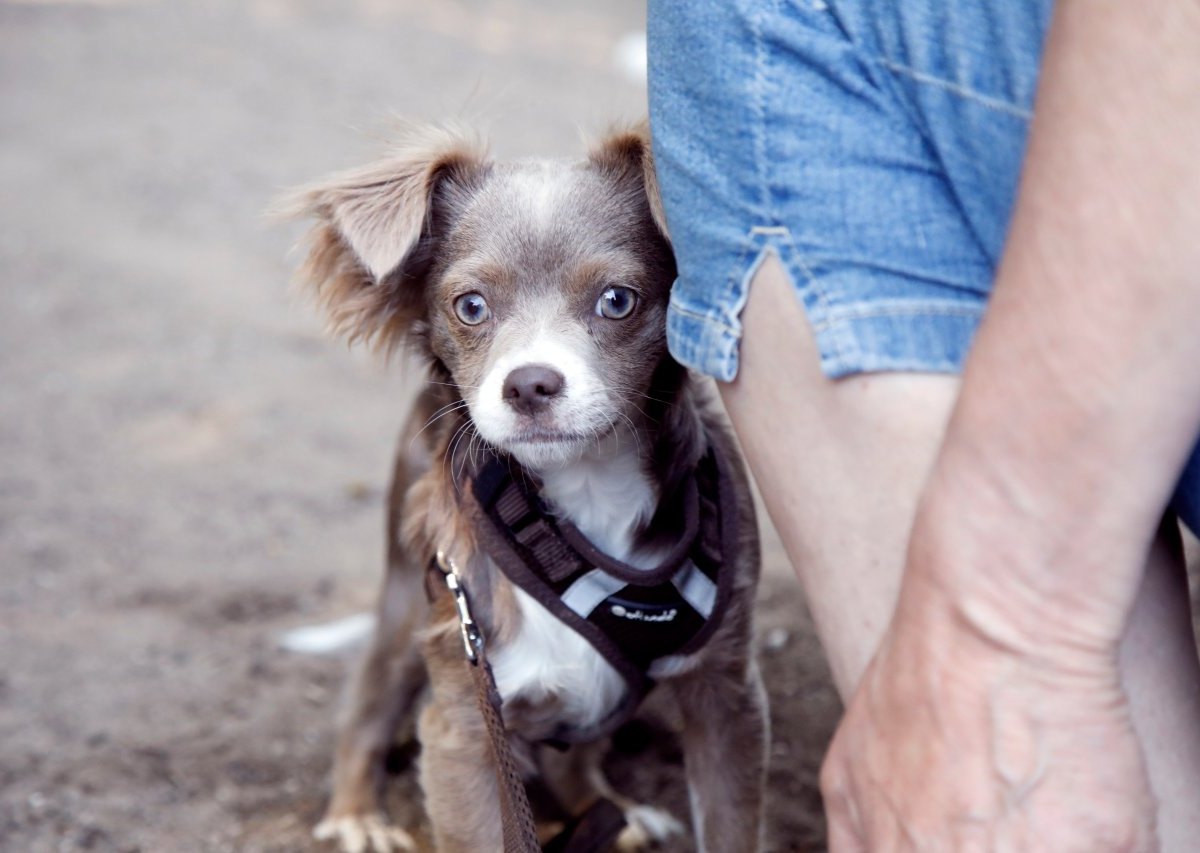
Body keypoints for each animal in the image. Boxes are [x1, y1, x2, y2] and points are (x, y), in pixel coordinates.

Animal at [282, 121, 768, 853]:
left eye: (617, 301)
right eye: (471, 306)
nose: (530, 383)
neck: (585, 497)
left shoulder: (727, 693)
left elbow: (733, 823)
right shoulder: (463, 722)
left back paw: (613, 812)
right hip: (405, 602)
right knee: (367, 703)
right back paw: (357, 814)